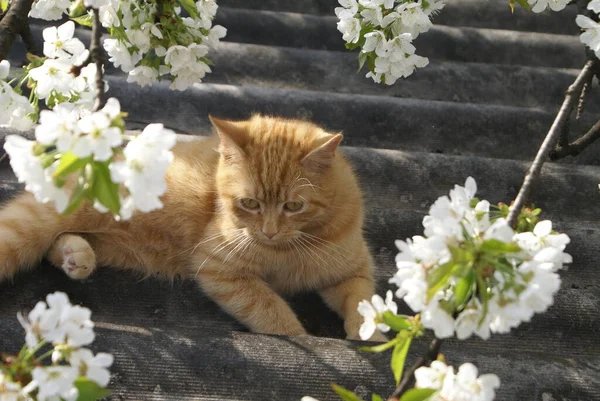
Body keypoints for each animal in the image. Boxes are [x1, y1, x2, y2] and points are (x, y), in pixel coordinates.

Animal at [1, 114, 384, 340]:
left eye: (293, 206)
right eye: (249, 203)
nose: (269, 232)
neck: (289, 248)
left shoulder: (354, 271)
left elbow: (365, 304)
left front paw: (372, 335)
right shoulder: (220, 269)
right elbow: (273, 314)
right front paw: (299, 336)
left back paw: (76, 256)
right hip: (40, 222)